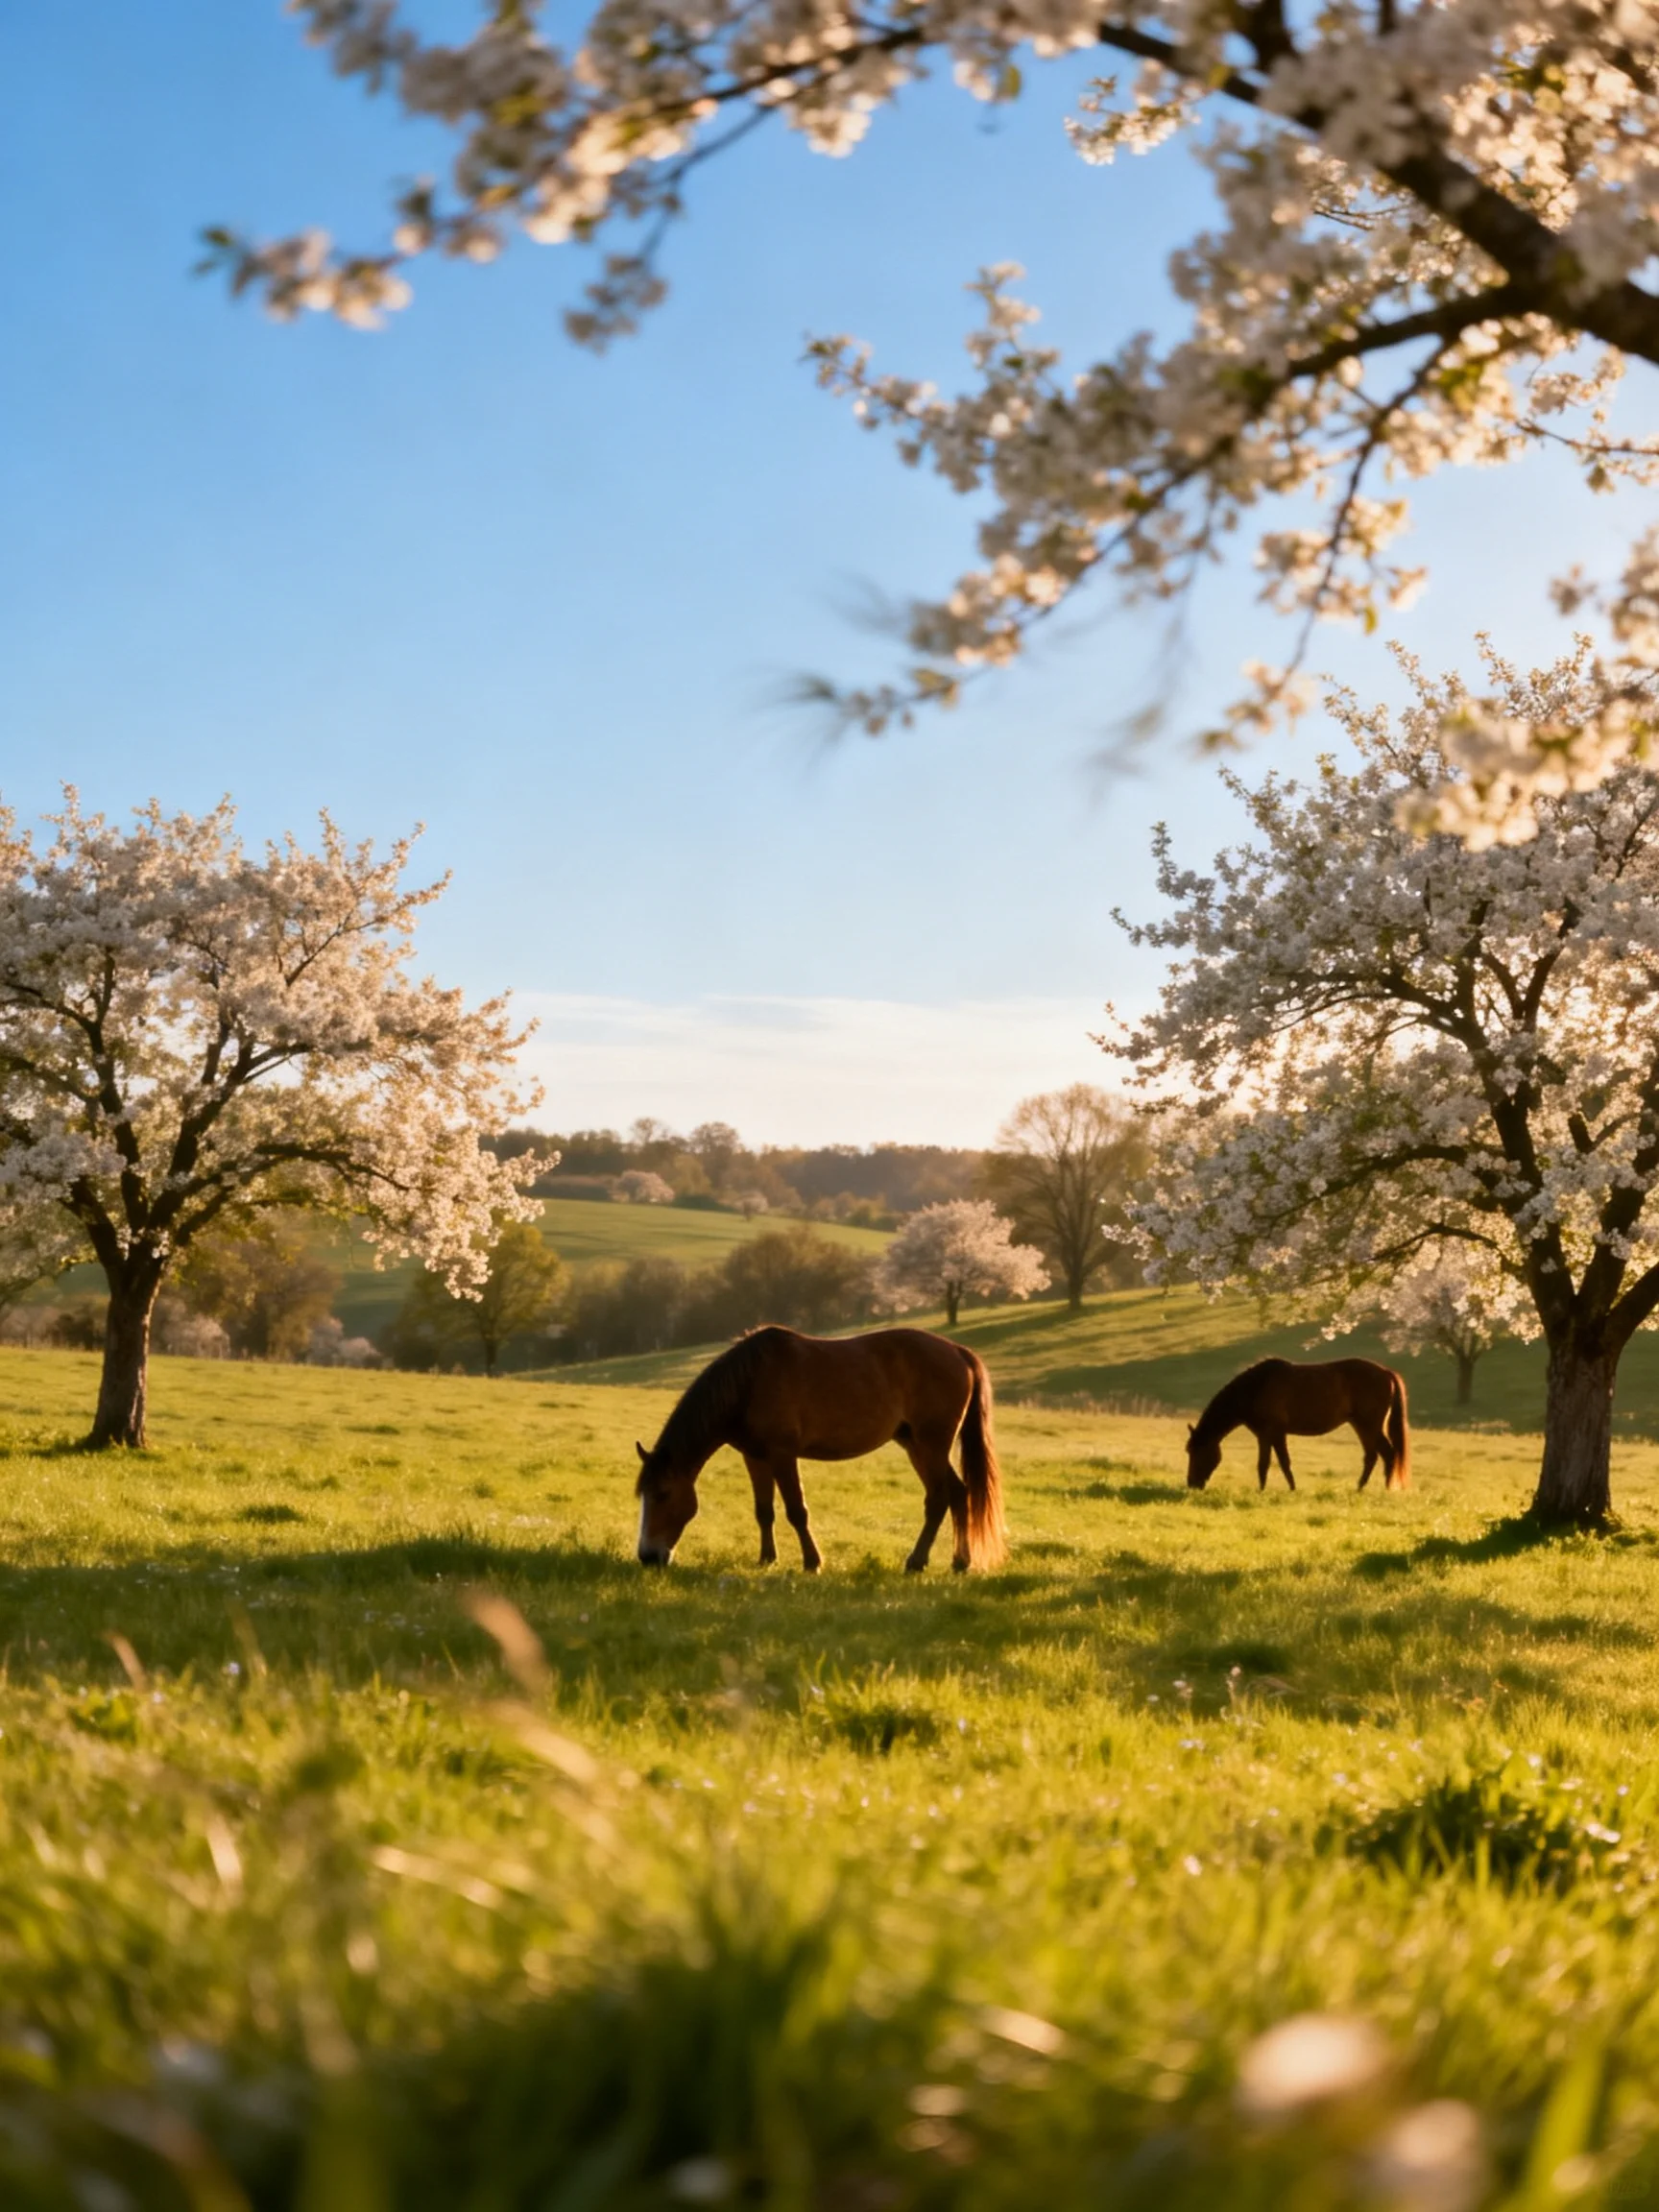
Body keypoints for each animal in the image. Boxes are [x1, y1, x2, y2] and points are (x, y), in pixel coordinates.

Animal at [633, 1325, 1006, 1572]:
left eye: (663, 1494)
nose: (648, 1557)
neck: (750, 1382)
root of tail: (959, 1352)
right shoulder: (755, 1457)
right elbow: (763, 1511)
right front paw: (766, 1559)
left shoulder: (783, 1454)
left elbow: (796, 1510)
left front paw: (812, 1562)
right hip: (916, 1444)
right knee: (958, 1494)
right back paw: (959, 1562)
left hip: (932, 1445)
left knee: (939, 1499)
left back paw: (917, 1561)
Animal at [1185, 1357, 1410, 1493]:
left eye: (1197, 1452)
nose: (1192, 1484)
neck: (1256, 1388)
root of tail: (1386, 1372)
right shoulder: (1264, 1435)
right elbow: (1264, 1464)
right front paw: (1262, 1490)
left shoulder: (1276, 1432)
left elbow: (1282, 1462)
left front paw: (1291, 1489)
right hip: (1361, 1425)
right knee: (1374, 1455)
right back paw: (1362, 1488)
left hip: (1370, 1424)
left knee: (1387, 1453)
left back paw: (1383, 1489)